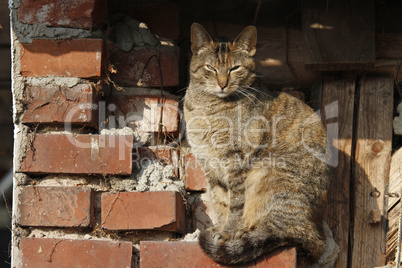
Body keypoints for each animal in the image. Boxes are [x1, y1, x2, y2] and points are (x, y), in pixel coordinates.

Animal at [184, 23, 332, 266]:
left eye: (235, 68)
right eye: (210, 68)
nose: (222, 84)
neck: (208, 107)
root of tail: (317, 235)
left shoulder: (237, 160)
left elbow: (236, 203)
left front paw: (229, 232)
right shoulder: (209, 164)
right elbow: (220, 201)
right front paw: (221, 227)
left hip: (270, 173)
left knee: (284, 232)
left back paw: (248, 233)